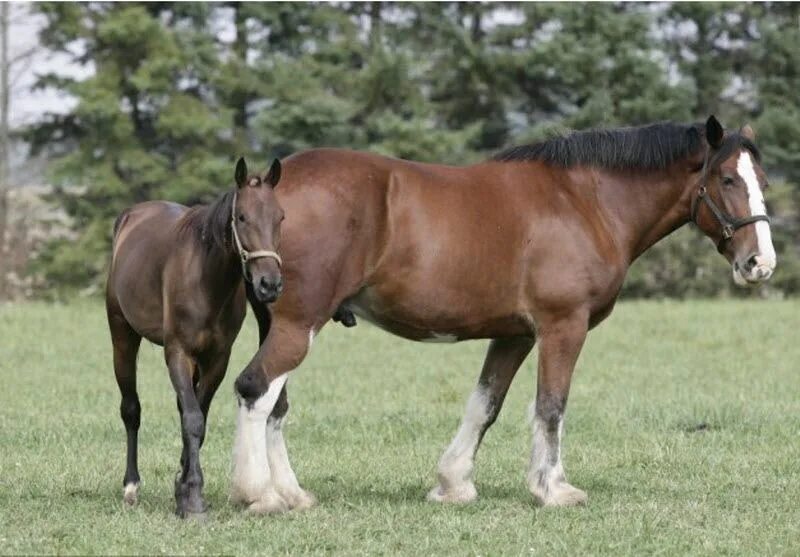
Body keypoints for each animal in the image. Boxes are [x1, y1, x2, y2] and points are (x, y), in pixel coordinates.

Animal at [108, 156, 284, 516]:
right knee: (131, 409)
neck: (206, 278)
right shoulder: (178, 352)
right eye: (242, 217)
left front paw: (184, 487)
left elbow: (196, 419)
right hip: (122, 336)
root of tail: (130, 217)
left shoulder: (217, 359)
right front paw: (192, 499)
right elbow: (192, 419)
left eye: (280, 217)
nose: (269, 284)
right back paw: (131, 486)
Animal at [230, 117, 776, 512]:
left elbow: (485, 405)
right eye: (727, 179)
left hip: (283, 322)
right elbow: (551, 406)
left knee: (274, 403)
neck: (586, 201)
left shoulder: (516, 334)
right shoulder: (562, 326)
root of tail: (263, 192)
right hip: (301, 324)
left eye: (763, 182)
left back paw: (292, 494)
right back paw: (260, 494)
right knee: (257, 390)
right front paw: (553, 489)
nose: (760, 263)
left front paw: (453, 484)